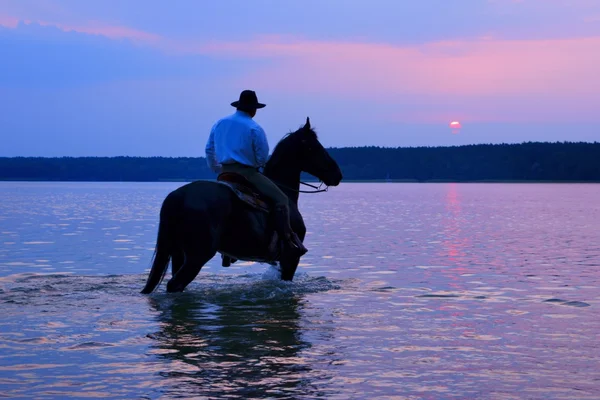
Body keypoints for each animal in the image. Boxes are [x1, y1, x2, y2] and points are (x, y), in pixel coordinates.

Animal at [141, 116, 344, 294]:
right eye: (313, 147)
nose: (337, 174)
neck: (283, 189)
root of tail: (178, 196)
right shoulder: (290, 259)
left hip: (178, 252)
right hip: (197, 256)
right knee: (175, 284)